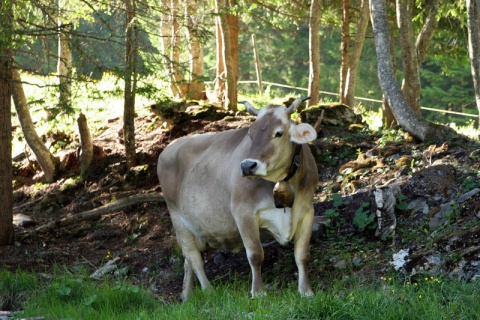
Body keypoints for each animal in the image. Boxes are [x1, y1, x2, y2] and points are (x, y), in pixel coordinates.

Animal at [158, 96, 320, 302]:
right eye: (250, 134)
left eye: (278, 133)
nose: (247, 165)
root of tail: (170, 146)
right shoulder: (243, 212)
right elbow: (255, 254)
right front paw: (258, 292)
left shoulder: (307, 211)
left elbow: (302, 255)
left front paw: (306, 291)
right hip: (177, 218)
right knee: (193, 256)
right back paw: (208, 290)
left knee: (188, 260)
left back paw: (187, 295)